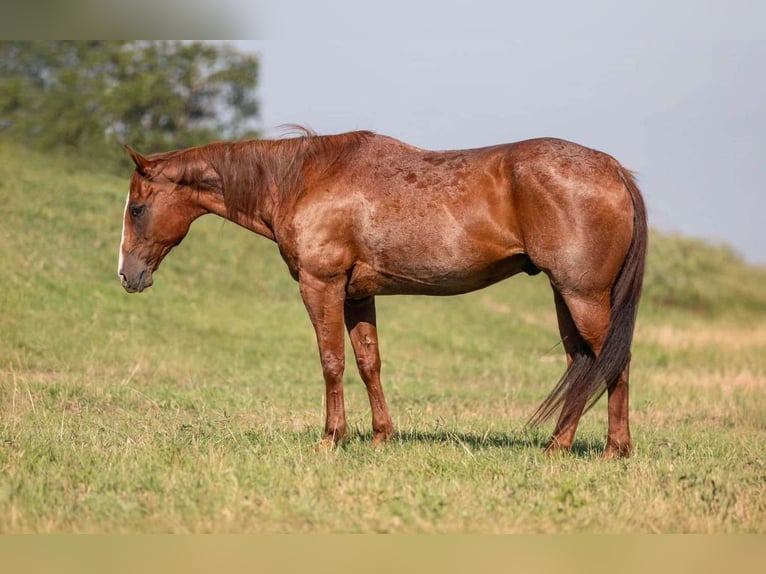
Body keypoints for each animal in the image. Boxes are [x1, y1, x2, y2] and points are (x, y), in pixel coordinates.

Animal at [118, 129, 647, 458]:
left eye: (138, 209)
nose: (127, 275)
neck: (304, 180)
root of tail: (614, 169)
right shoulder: (357, 295)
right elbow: (368, 362)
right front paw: (380, 437)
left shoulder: (322, 286)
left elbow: (331, 361)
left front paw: (331, 438)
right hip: (565, 295)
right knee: (583, 363)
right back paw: (558, 446)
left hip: (583, 295)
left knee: (612, 361)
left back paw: (614, 450)